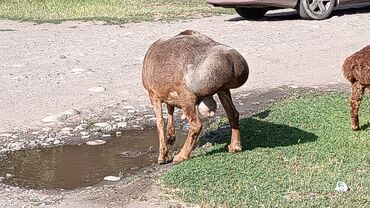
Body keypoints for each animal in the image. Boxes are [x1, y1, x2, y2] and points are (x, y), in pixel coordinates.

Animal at [142, 30, 249, 164]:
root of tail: (232, 62)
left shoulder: (153, 94)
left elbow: (160, 122)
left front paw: (163, 156)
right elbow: (170, 110)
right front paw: (170, 137)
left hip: (187, 96)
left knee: (196, 125)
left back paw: (181, 155)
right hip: (223, 90)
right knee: (233, 114)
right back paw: (235, 146)